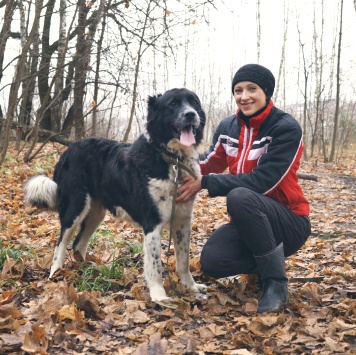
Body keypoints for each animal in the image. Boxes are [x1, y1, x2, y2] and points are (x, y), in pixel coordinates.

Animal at [24, 87, 206, 302]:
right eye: (173, 104)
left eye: (194, 103)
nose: (190, 115)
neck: (172, 159)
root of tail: (68, 150)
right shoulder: (153, 222)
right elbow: (155, 264)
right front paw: (159, 296)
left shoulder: (182, 220)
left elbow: (184, 260)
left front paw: (191, 286)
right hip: (76, 207)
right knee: (60, 245)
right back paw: (56, 275)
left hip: (95, 213)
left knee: (78, 244)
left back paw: (85, 269)